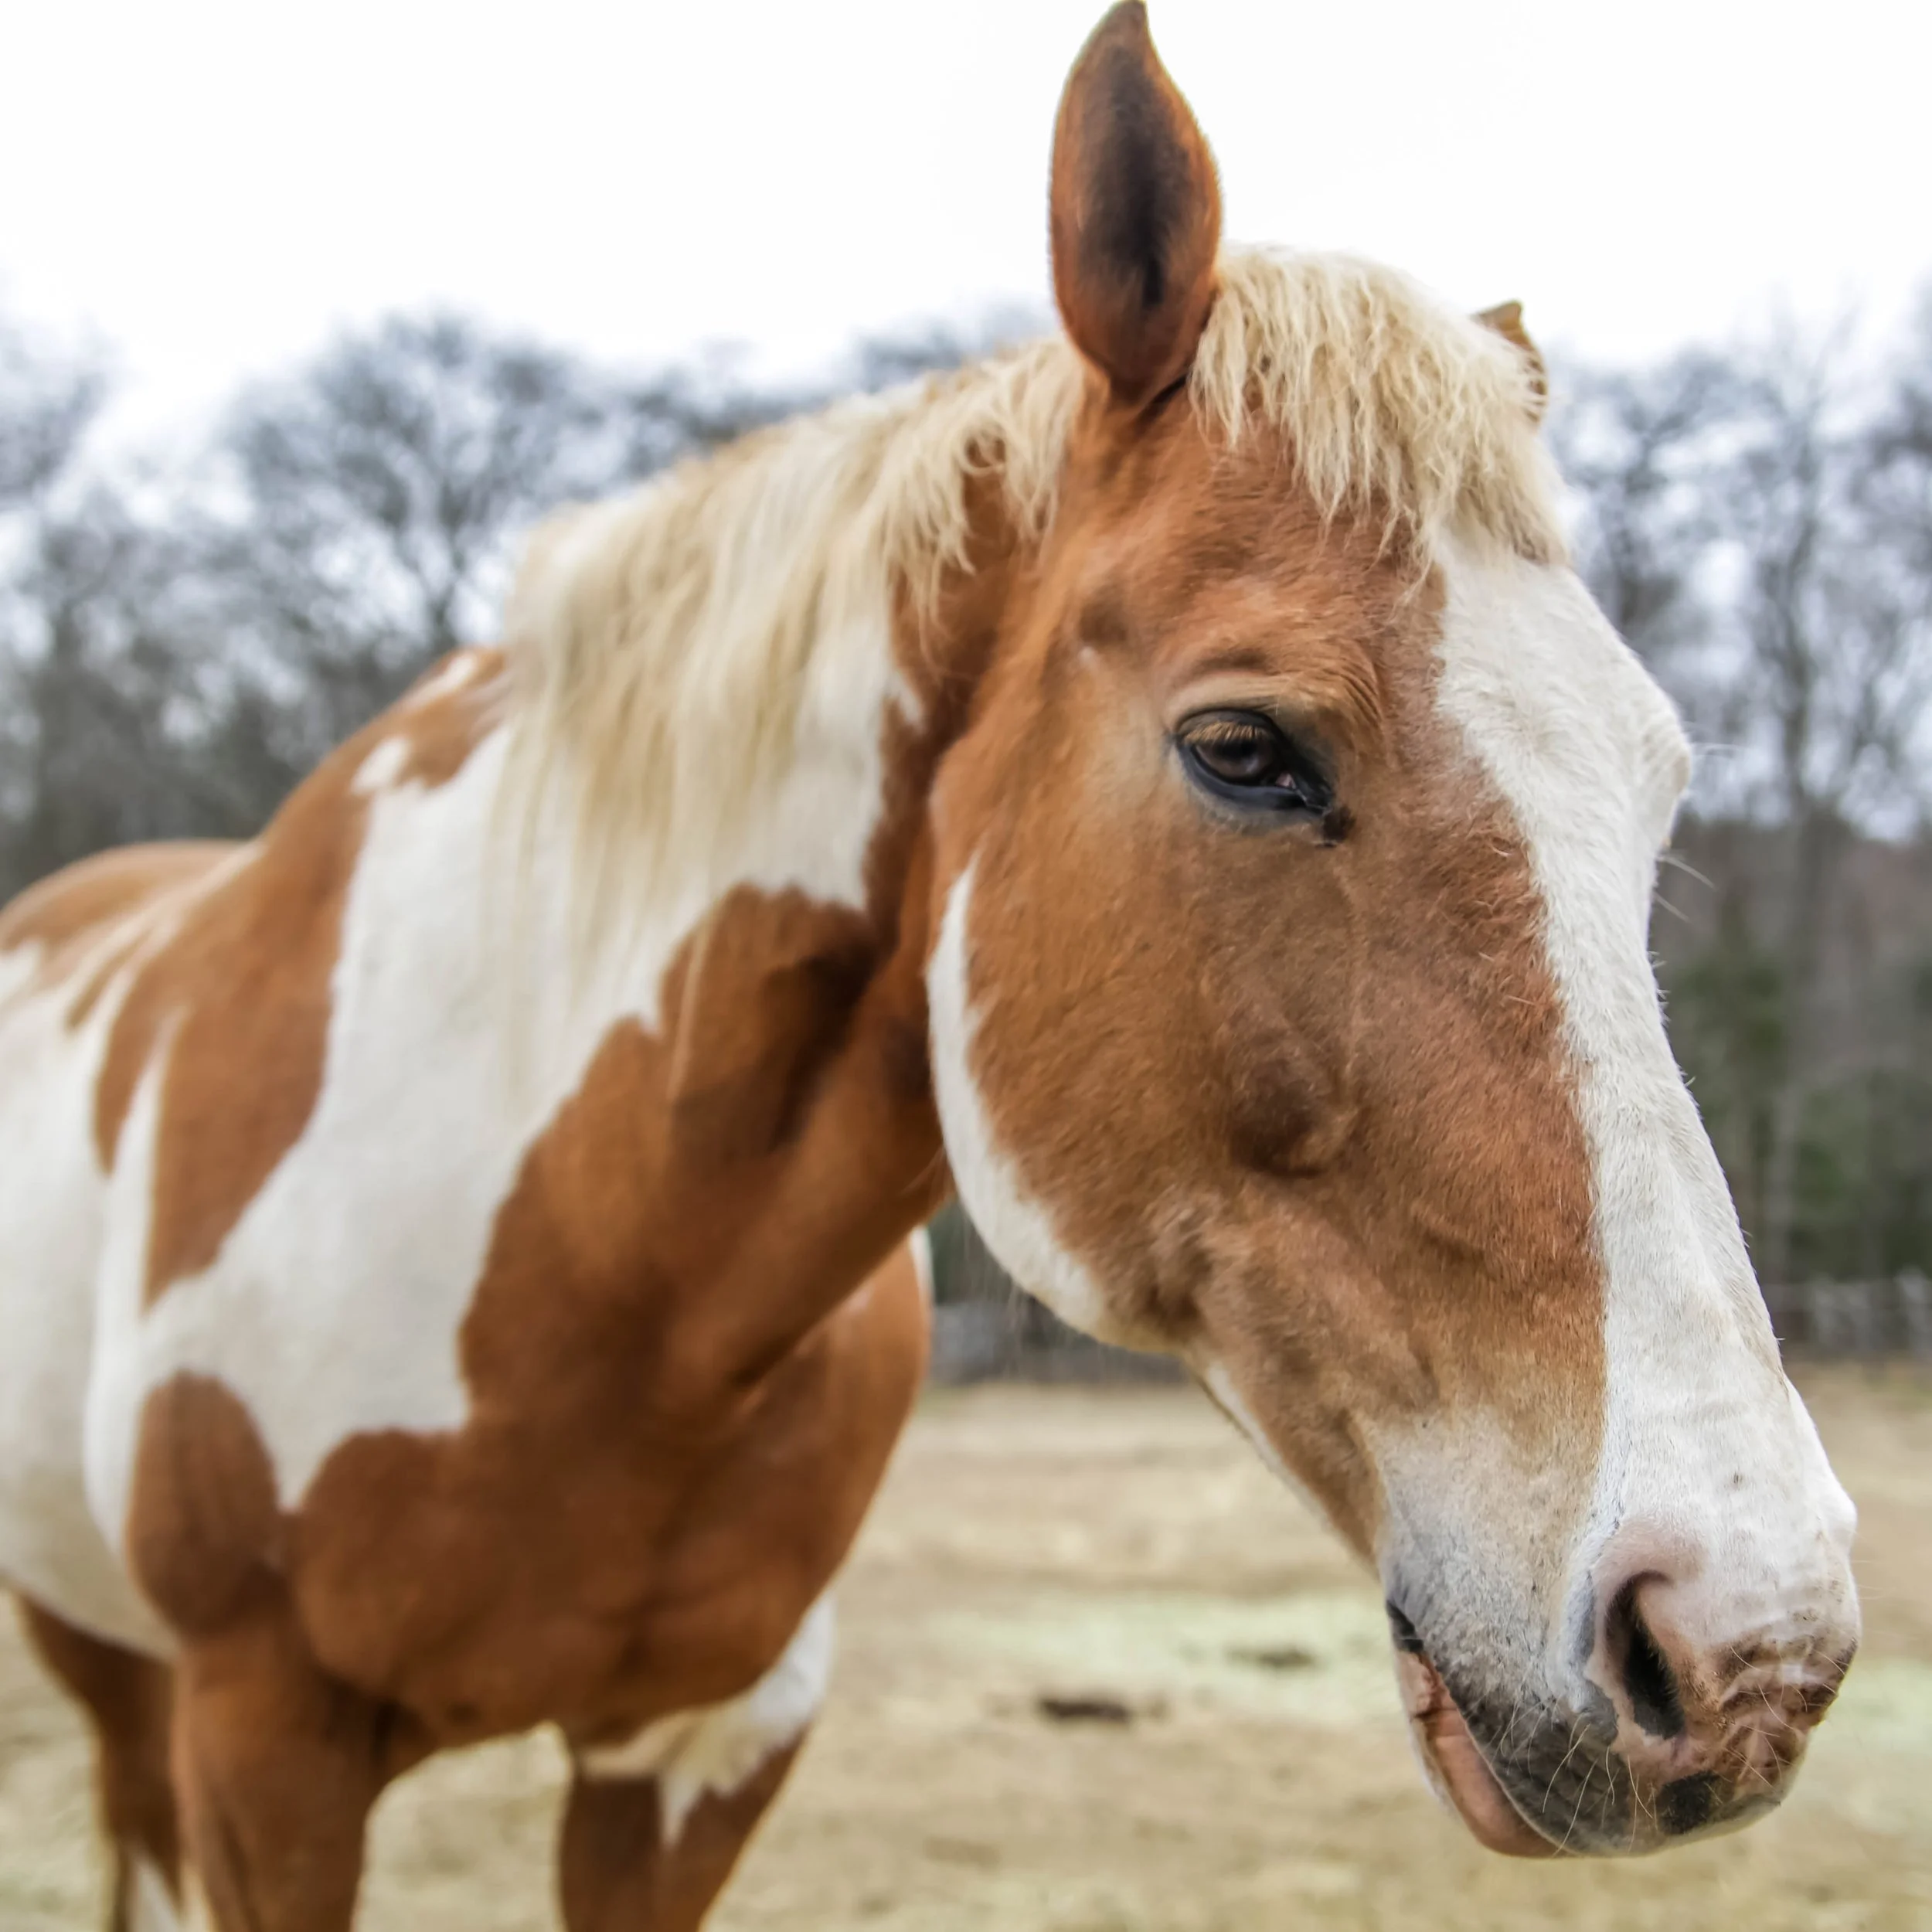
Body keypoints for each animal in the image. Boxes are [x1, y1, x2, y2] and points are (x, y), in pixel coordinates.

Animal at [0, 6, 1859, 1926]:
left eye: (1653, 785)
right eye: (1243, 748)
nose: (1748, 1642)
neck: (579, 1256)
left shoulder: (707, 1749)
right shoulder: (264, 1755)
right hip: (113, 1670)